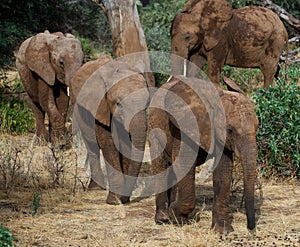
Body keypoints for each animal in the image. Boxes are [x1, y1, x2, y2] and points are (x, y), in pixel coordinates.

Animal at [70, 54, 150, 205]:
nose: (125, 199)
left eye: (147, 103)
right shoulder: (100, 106)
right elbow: (109, 145)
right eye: (118, 104)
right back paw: (95, 188)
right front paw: (114, 201)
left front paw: (122, 198)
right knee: (92, 147)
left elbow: (126, 147)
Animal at [149, 75, 258, 233]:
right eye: (230, 130)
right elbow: (184, 164)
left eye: (257, 127)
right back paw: (163, 218)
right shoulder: (184, 128)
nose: (250, 228)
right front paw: (177, 217)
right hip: (154, 127)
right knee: (161, 165)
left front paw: (223, 231)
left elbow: (224, 171)